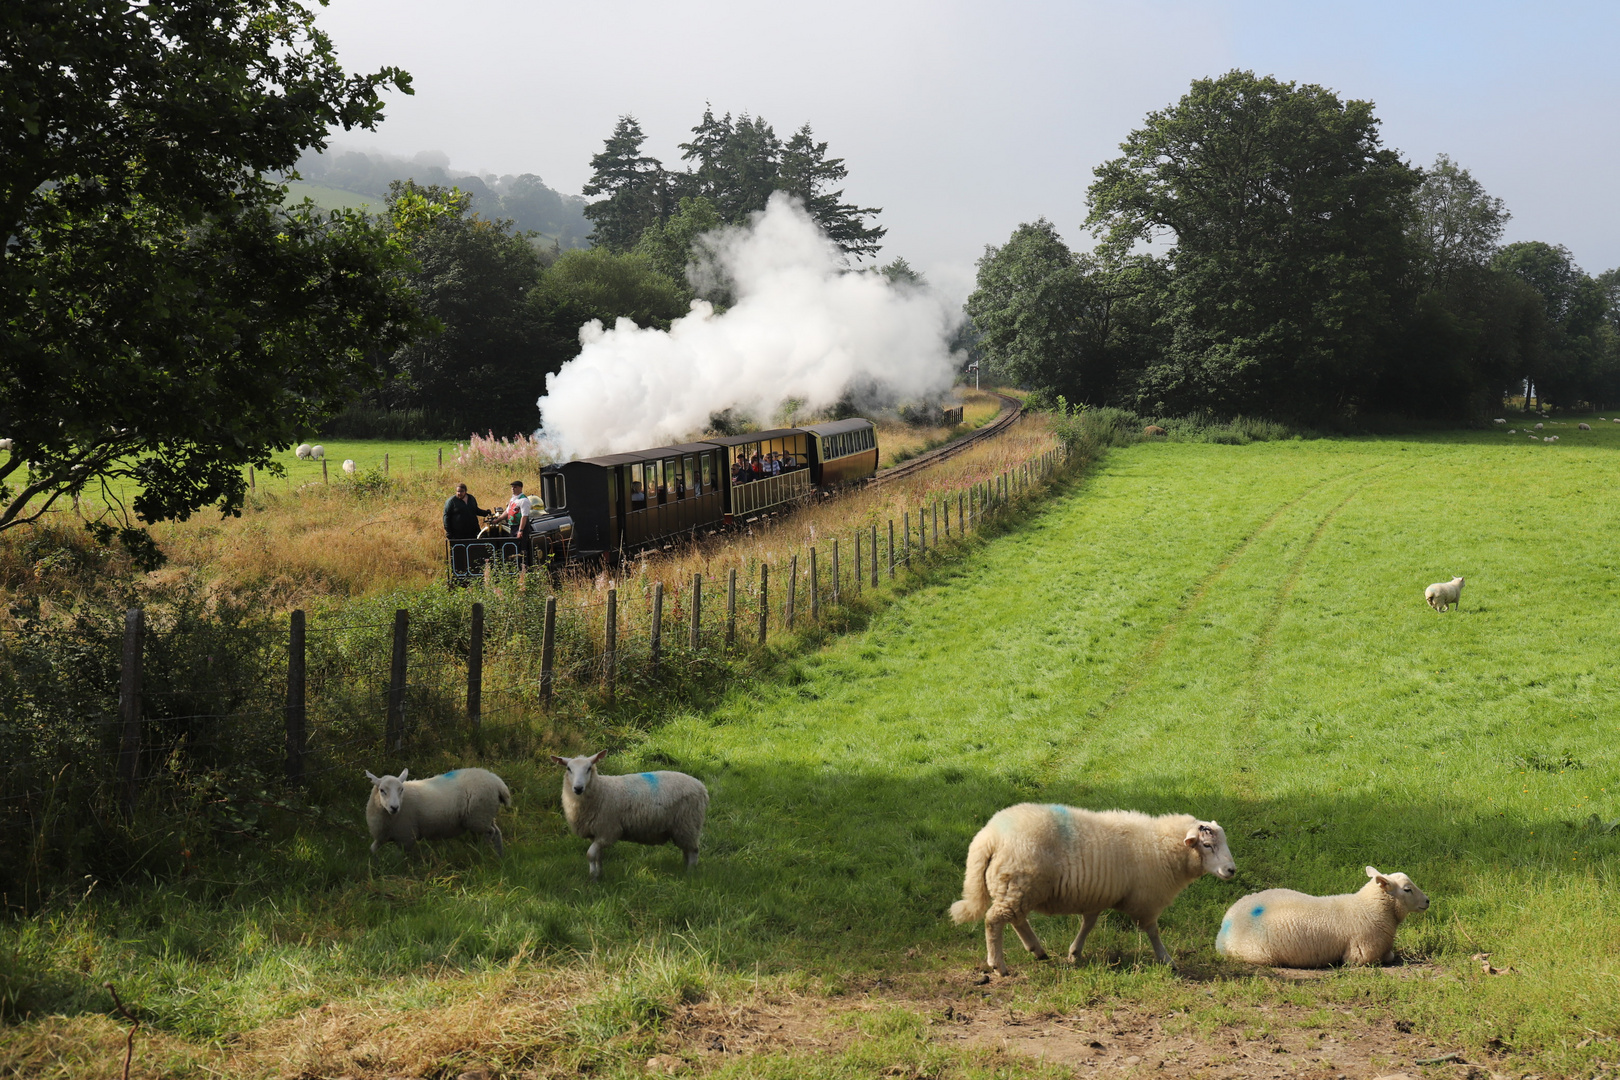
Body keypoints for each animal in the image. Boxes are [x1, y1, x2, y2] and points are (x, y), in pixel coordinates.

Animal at [362, 767, 508, 861]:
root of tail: (499, 783)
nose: (394, 807)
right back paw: (499, 856)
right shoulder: (382, 836)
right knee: (497, 832)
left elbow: (399, 858)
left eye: (401, 789)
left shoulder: (406, 837)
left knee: (491, 833)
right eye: (382, 790)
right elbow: (371, 850)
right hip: (486, 815)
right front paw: (374, 864)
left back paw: (483, 852)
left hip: (478, 817)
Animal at [554, 751, 706, 880]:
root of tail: (701, 786)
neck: (601, 790)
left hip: (689, 823)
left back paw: (690, 873)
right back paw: (685, 868)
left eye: (589, 768)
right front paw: (599, 874)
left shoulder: (608, 831)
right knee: (687, 850)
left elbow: (590, 855)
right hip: (684, 828)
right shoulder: (596, 833)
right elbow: (598, 856)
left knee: (693, 851)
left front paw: (593, 877)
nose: (578, 788)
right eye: (568, 769)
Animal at [946, 806, 1231, 977]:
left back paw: (1037, 950)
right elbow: (1153, 932)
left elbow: (1089, 923)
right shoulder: (1146, 902)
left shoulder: (1099, 896)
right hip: (1018, 884)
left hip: (1017, 888)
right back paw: (999, 965)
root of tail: (989, 836)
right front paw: (1167, 960)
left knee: (1016, 919)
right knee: (994, 921)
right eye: (1207, 845)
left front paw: (1075, 953)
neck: (1162, 844)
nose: (1231, 870)